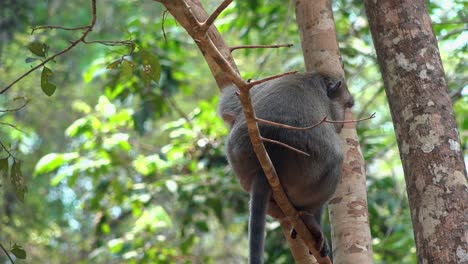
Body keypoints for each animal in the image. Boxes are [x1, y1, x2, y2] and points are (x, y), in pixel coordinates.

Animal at [219, 72, 354, 264]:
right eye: (346, 105)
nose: (343, 121)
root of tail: (269, 159)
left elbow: (229, 102)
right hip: (305, 176)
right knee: (336, 161)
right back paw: (309, 221)